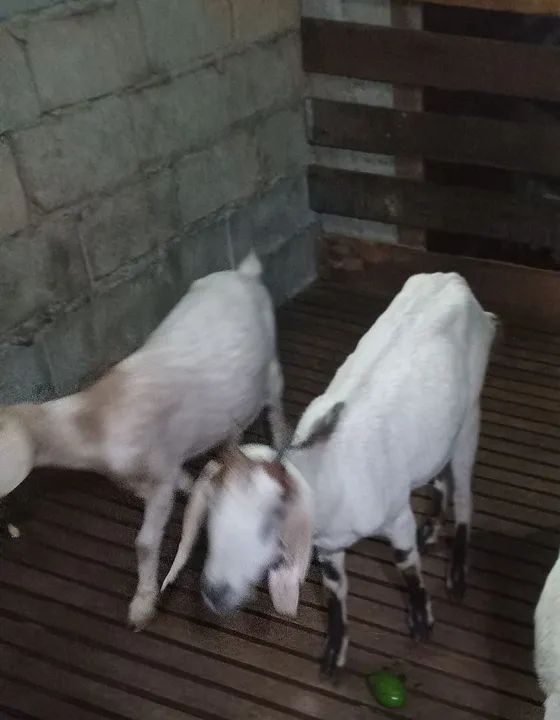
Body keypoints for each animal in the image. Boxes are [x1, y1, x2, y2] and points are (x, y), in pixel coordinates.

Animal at [0, 252, 288, 629]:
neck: (99, 418)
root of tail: (245, 273)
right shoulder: (137, 476)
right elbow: (177, 485)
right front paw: (194, 486)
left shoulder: (159, 470)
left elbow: (146, 542)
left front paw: (142, 604)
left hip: (270, 366)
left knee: (276, 402)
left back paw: (281, 439)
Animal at [161, 272, 497, 678]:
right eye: (212, 515)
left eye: (272, 522)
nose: (215, 594)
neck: (329, 472)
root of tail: (453, 280)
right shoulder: (328, 547)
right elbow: (336, 591)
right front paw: (335, 653)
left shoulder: (396, 518)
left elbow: (407, 567)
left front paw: (421, 621)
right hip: (439, 434)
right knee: (440, 474)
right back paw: (432, 527)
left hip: (470, 418)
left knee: (464, 490)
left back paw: (457, 572)